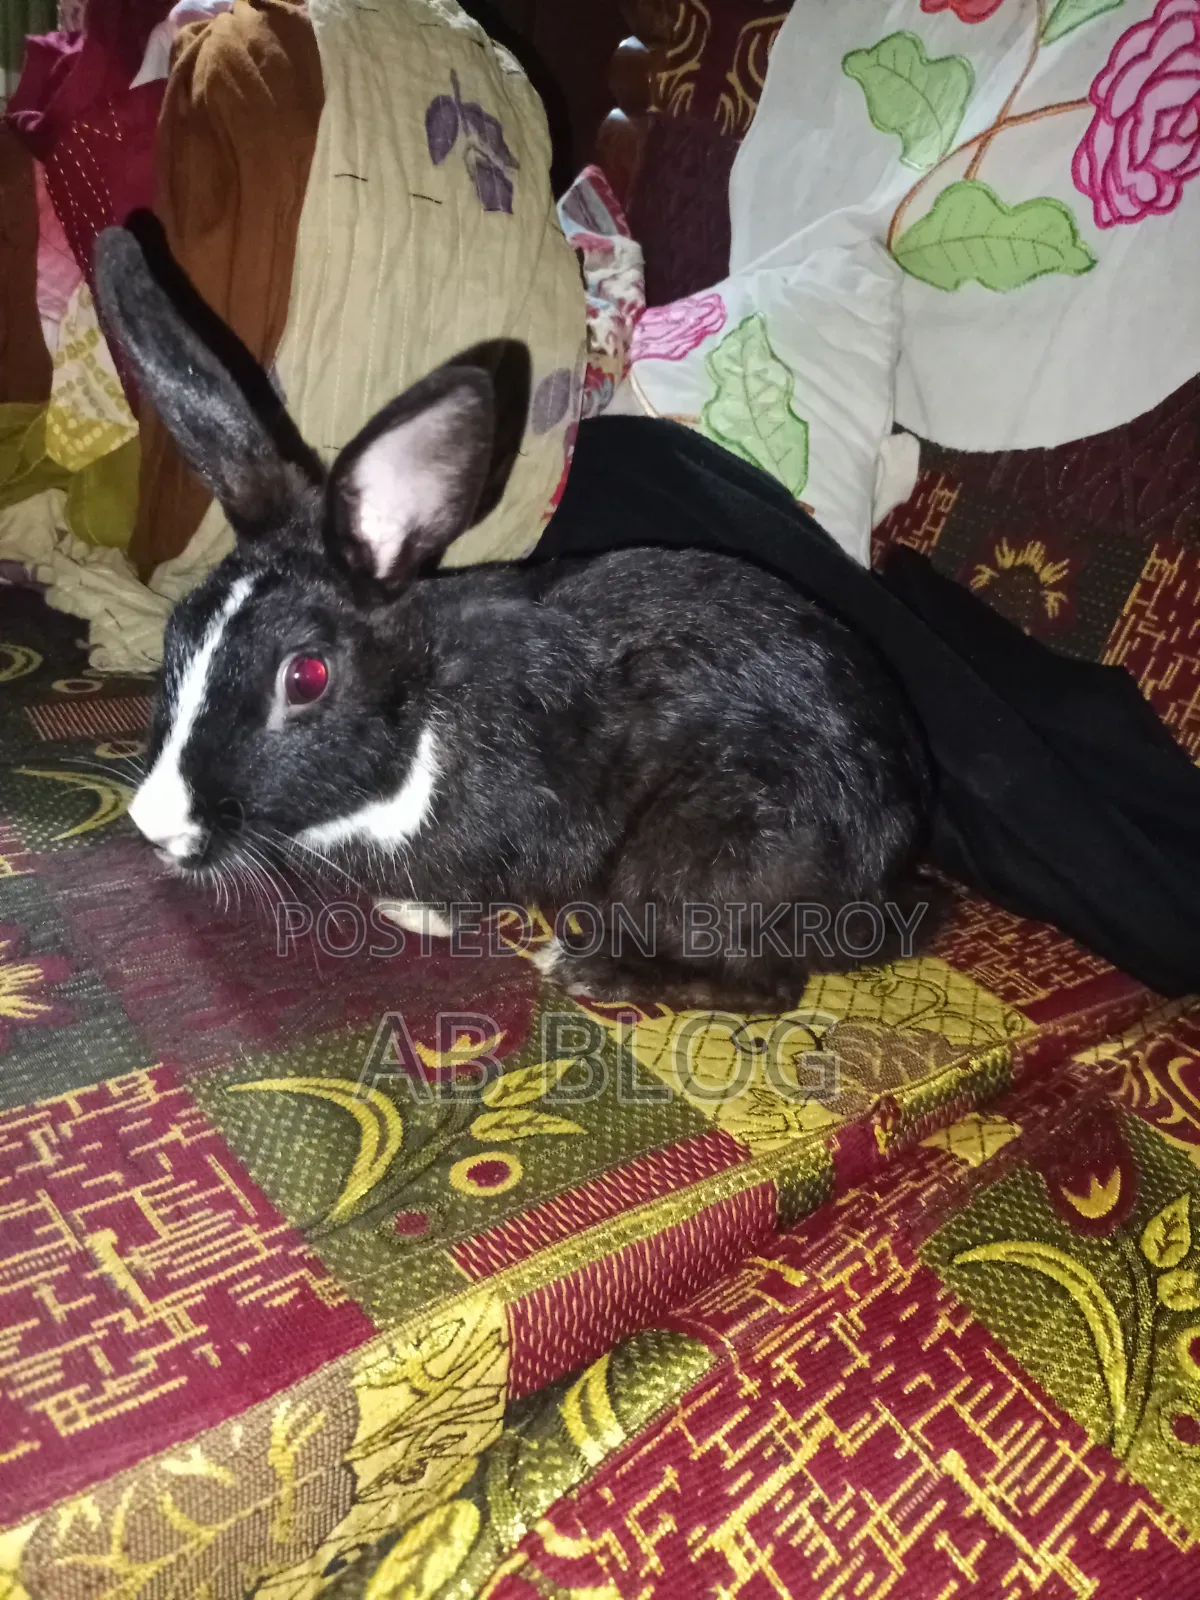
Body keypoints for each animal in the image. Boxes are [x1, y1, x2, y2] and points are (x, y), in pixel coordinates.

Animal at [96, 224, 936, 1010]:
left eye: (305, 678)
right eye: (176, 633)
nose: (154, 822)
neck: (420, 731)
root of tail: (886, 880)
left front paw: (416, 913)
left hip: (708, 852)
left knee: (768, 985)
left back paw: (589, 968)